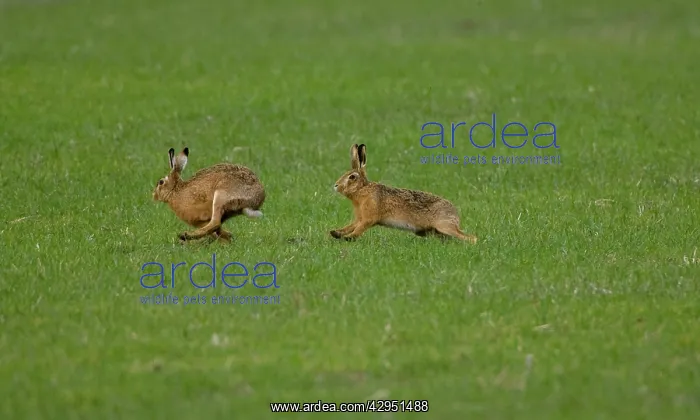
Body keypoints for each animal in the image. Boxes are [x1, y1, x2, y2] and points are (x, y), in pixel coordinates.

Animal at [330, 143, 477, 243]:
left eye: (352, 177)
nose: (336, 186)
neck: (362, 189)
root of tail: (455, 214)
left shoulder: (369, 218)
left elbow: (359, 229)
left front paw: (348, 238)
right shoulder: (360, 217)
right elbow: (351, 226)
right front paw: (335, 233)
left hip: (444, 226)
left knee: (470, 238)